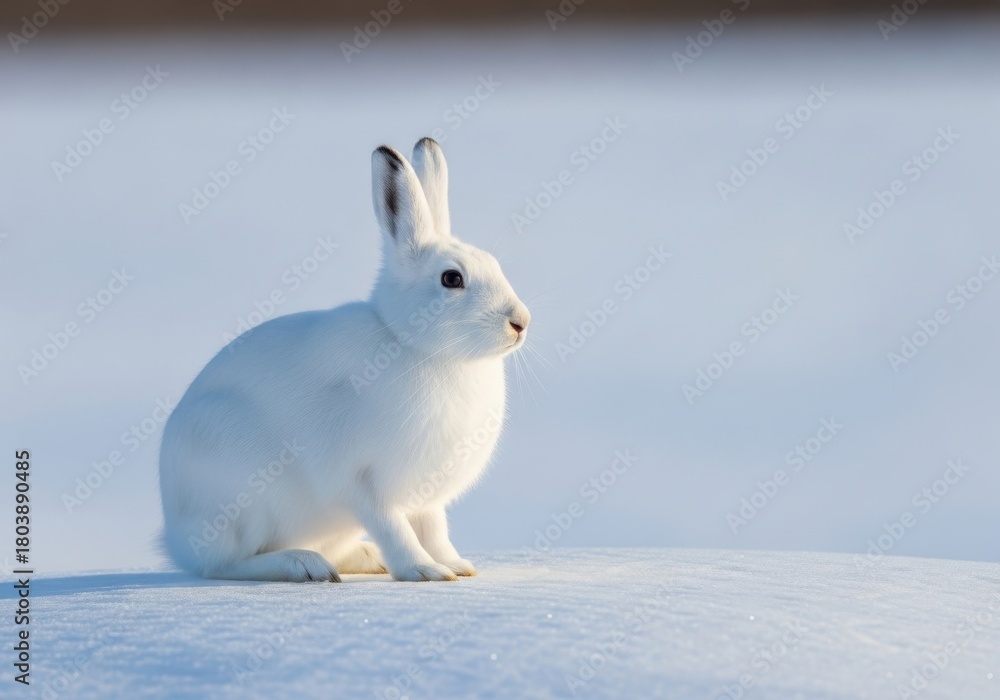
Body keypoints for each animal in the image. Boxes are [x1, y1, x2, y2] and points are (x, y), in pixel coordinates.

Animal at [159, 137, 530, 582]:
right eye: (451, 279)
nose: (521, 322)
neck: (416, 345)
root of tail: (175, 537)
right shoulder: (363, 482)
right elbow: (395, 527)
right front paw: (423, 570)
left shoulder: (426, 499)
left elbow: (434, 529)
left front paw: (456, 565)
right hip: (240, 494)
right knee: (224, 563)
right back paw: (304, 565)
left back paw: (366, 558)